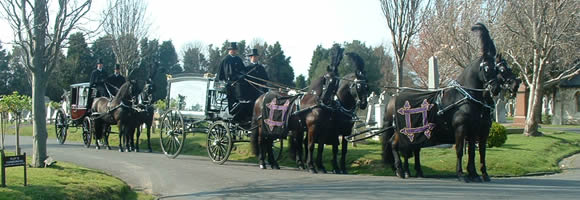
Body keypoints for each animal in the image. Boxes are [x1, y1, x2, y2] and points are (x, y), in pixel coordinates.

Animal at [380, 22, 502, 182]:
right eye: (486, 68)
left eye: (497, 69)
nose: (495, 88)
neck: (465, 99)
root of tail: (394, 97)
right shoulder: (461, 128)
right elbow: (460, 151)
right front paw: (461, 174)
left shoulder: (477, 130)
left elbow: (476, 151)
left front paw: (477, 174)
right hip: (404, 131)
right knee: (394, 145)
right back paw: (400, 170)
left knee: (407, 148)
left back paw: (409, 170)